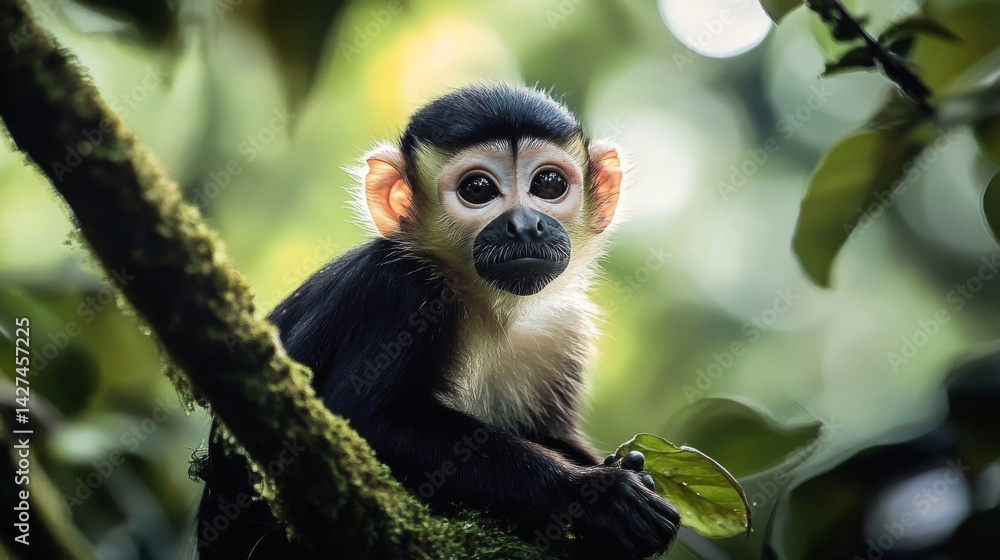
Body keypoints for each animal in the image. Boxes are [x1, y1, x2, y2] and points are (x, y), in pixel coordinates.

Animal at [195, 84, 679, 559]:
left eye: (549, 183)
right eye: (478, 189)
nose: (525, 226)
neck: (490, 307)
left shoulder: (561, 324)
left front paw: (630, 471)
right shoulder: (399, 290)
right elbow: (364, 421)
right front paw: (596, 494)